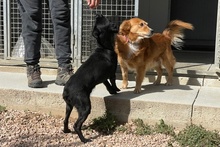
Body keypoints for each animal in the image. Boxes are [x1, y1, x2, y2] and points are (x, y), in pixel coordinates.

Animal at [62, 13, 120, 142]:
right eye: (105, 20)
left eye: (98, 20)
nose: (98, 14)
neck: (104, 47)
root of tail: (67, 91)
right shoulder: (112, 72)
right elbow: (113, 82)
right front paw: (116, 91)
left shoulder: (103, 77)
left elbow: (107, 84)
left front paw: (112, 91)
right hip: (85, 106)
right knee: (77, 125)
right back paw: (84, 140)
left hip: (69, 106)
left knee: (65, 120)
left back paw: (66, 131)